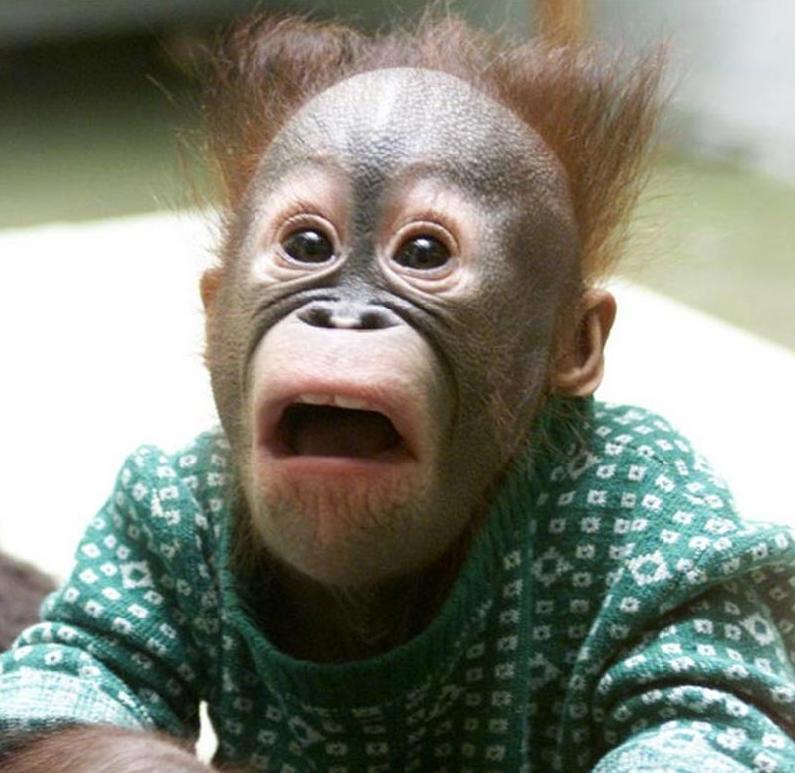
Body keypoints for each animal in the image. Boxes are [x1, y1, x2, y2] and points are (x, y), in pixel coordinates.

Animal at [0, 13, 794, 773]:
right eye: (308, 246)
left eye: (422, 253)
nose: (345, 317)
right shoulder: (149, 510)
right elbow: (67, 678)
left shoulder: (661, 507)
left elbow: (709, 709)